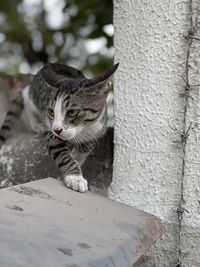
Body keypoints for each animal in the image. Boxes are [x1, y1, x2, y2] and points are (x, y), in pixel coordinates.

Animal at [0, 62, 119, 193]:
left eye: (72, 112)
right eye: (51, 112)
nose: (56, 129)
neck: (82, 129)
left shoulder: (98, 129)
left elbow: (86, 147)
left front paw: (77, 157)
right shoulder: (53, 137)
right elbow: (63, 156)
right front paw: (75, 177)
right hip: (33, 97)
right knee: (27, 99)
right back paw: (38, 125)